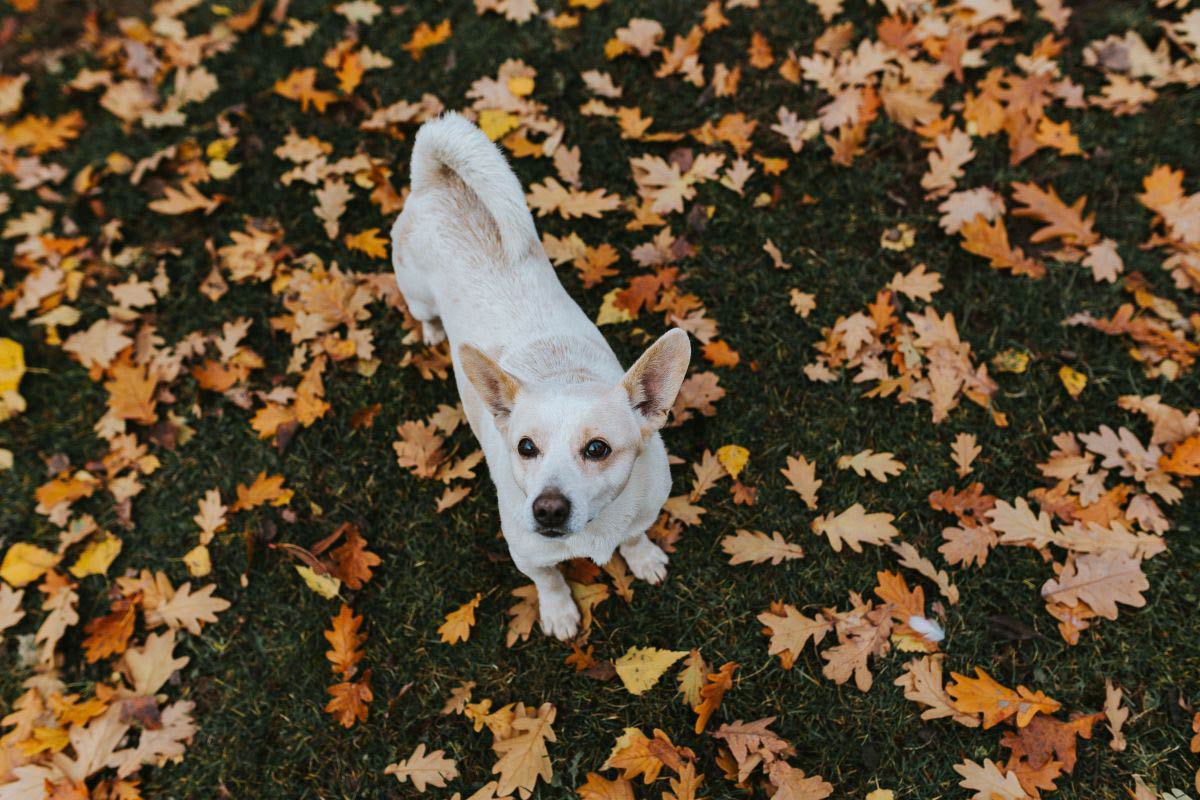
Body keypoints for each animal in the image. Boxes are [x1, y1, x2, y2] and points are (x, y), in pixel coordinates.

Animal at [393, 112, 691, 642]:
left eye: (598, 449)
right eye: (525, 447)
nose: (547, 508)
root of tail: (438, 181)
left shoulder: (644, 510)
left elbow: (636, 534)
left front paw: (642, 558)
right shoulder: (528, 557)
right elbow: (549, 579)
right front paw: (558, 613)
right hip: (416, 291)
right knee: (423, 313)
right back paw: (431, 333)